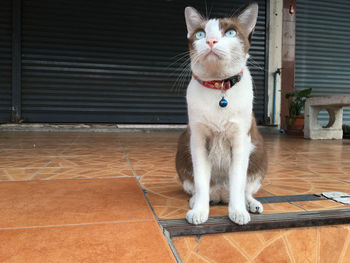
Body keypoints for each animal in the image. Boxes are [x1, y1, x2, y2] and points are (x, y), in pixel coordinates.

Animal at [175, 2, 268, 226]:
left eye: (231, 32)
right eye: (200, 34)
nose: (210, 40)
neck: (219, 87)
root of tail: (220, 195)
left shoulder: (240, 140)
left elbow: (237, 182)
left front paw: (238, 212)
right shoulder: (198, 140)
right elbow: (201, 182)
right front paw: (199, 212)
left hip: (259, 160)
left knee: (244, 189)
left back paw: (250, 204)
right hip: (183, 157)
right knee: (199, 188)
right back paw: (196, 201)